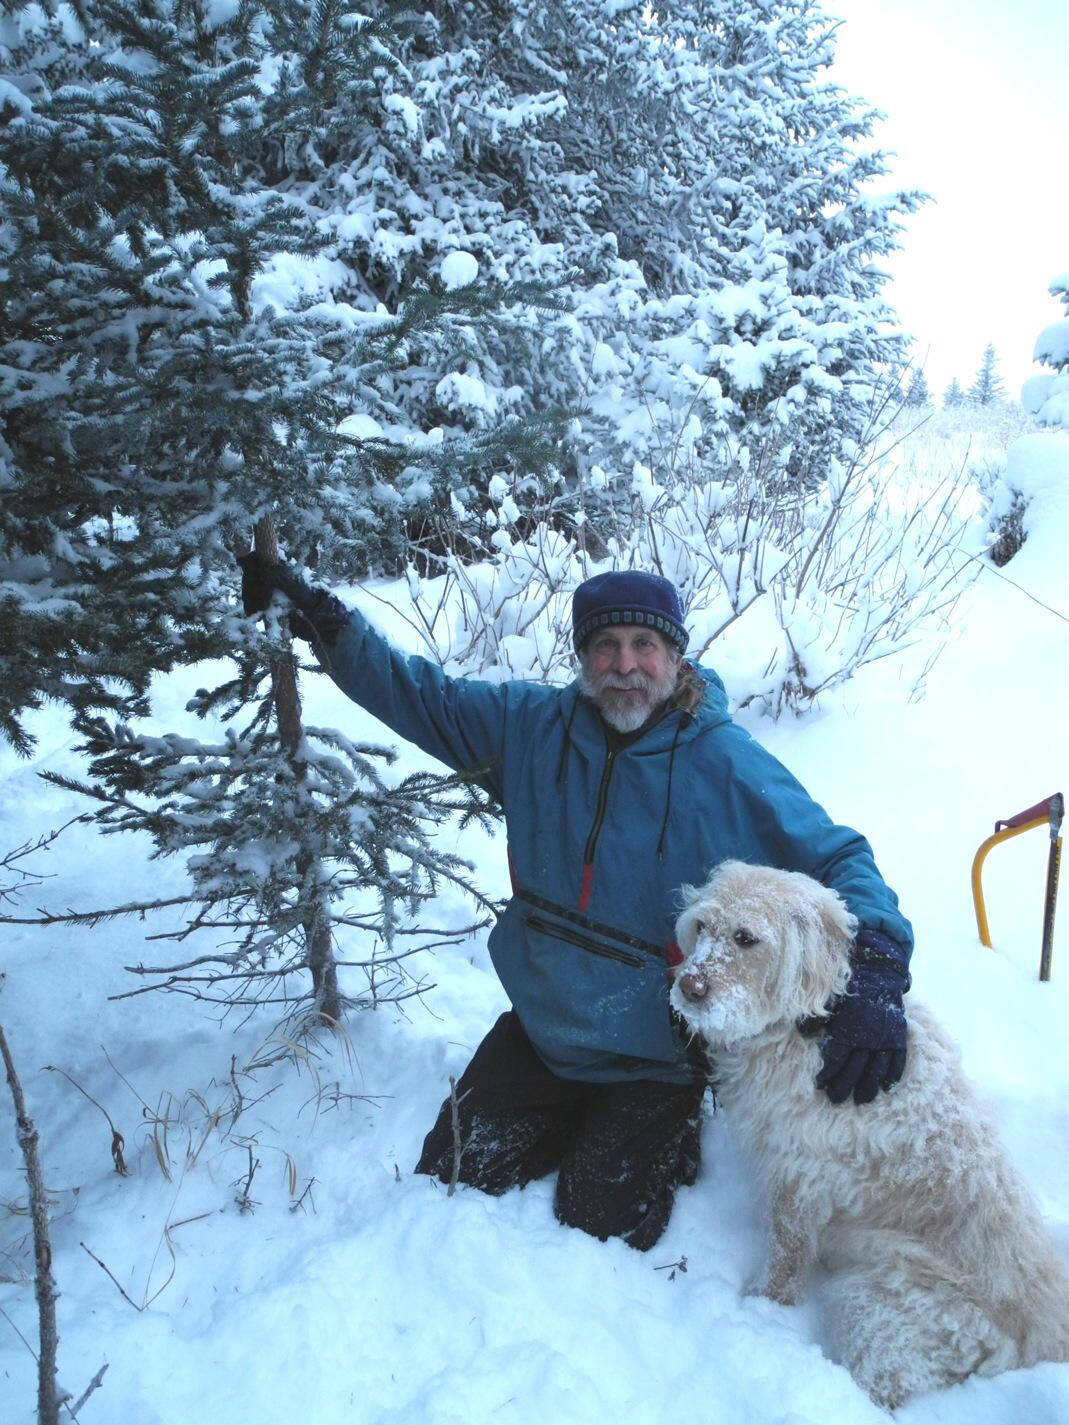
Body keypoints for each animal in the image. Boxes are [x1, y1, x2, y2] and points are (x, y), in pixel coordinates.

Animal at [672, 860, 1069, 1407]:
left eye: (746, 937)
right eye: (702, 927)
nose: (688, 987)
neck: (814, 1022)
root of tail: (1045, 1336)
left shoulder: (802, 1177)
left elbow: (787, 1252)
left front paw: (764, 1306)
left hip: (878, 1311)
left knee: (885, 1385)